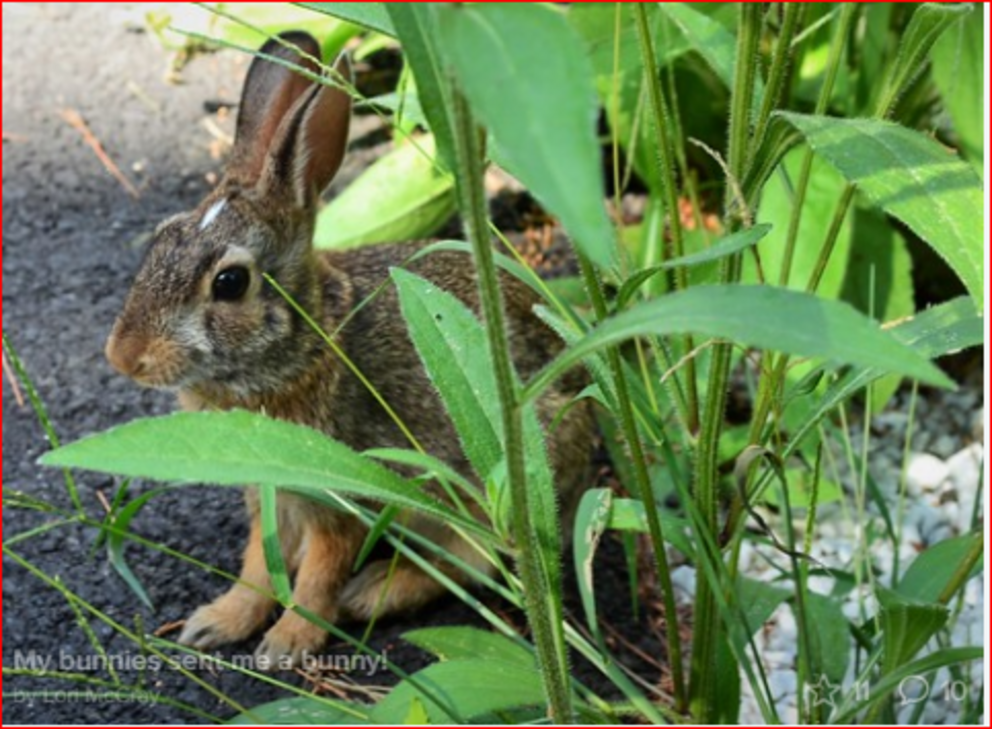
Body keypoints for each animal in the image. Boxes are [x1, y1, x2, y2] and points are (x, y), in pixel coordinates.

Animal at [105, 32, 592, 672]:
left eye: (230, 283)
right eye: (160, 239)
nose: (123, 358)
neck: (303, 346)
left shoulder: (343, 495)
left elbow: (319, 572)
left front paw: (288, 644)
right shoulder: (271, 496)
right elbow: (259, 563)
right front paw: (218, 622)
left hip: (493, 492)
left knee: (474, 561)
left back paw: (372, 593)